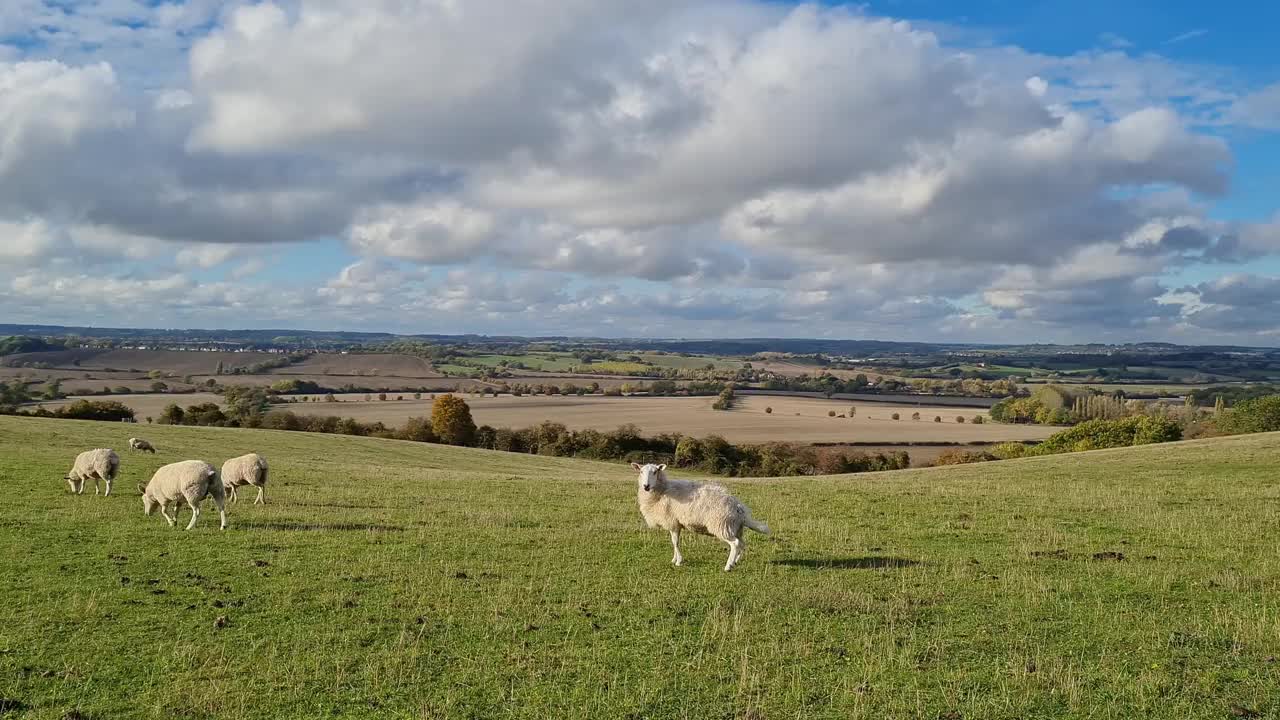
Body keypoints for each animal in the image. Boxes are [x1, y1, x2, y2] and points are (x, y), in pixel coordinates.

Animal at [632, 458, 768, 571]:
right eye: (641, 472)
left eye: (655, 472)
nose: (646, 486)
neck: (662, 490)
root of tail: (739, 508)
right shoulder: (676, 523)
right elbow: (675, 542)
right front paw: (674, 559)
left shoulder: (672, 522)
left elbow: (675, 542)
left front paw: (678, 561)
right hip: (736, 528)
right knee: (742, 543)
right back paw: (735, 561)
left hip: (722, 525)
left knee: (735, 544)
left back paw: (728, 566)